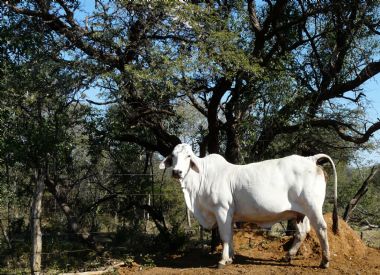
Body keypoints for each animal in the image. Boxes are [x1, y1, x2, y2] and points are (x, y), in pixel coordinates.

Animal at [159, 144, 336, 270]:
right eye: (173, 156)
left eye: (188, 156)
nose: (177, 172)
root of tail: (310, 159)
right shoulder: (230, 215)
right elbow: (230, 235)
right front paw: (231, 257)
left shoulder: (222, 210)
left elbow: (224, 236)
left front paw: (223, 260)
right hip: (299, 212)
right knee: (302, 232)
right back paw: (288, 256)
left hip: (313, 207)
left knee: (321, 228)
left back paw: (325, 261)